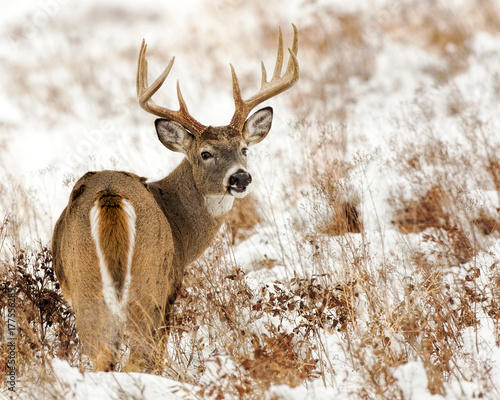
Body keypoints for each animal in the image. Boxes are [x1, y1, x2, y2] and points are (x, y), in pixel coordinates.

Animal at [52, 25, 298, 372]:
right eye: (205, 153)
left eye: (244, 149)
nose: (240, 178)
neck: (178, 223)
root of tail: (110, 197)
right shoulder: (171, 285)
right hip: (149, 281)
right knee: (137, 357)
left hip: (86, 283)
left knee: (103, 357)